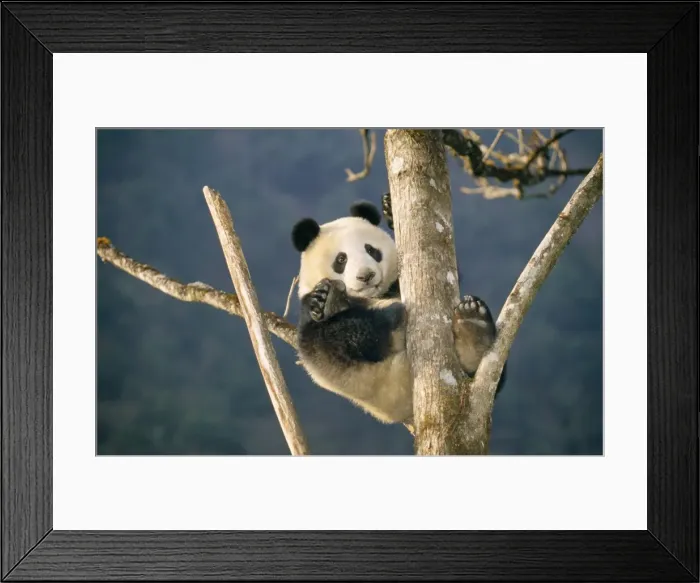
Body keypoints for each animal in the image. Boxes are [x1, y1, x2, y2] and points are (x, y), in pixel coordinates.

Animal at [291, 194, 506, 425]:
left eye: (371, 250)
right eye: (341, 259)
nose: (366, 276)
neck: (373, 296)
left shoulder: (393, 285)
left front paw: (390, 209)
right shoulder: (309, 318)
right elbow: (329, 335)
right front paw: (324, 299)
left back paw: (473, 328)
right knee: (338, 339)